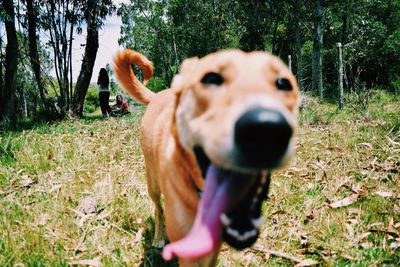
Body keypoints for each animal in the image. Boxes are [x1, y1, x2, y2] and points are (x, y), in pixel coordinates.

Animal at [114, 49, 298, 266]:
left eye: (283, 83)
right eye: (211, 79)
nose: (265, 129)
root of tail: (162, 94)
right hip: (153, 183)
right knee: (158, 209)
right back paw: (159, 237)